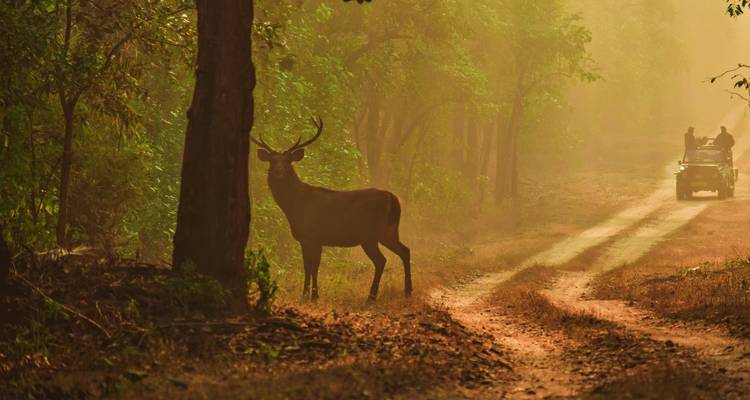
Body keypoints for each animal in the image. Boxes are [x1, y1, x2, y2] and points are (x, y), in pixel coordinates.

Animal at [252, 117, 412, 303]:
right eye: (272, 160)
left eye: (287, 161)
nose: (278, 172)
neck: (294, 205)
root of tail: (392, 199)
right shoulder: (314, 239)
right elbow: (311, 266)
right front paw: (311, 294)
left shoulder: (311, 236)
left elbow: (311, 266)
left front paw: (309, 295)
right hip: (389, 231)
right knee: (405, 250)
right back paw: (407, 291)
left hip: (369, 234)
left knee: (381, 260)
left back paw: (371, 296)